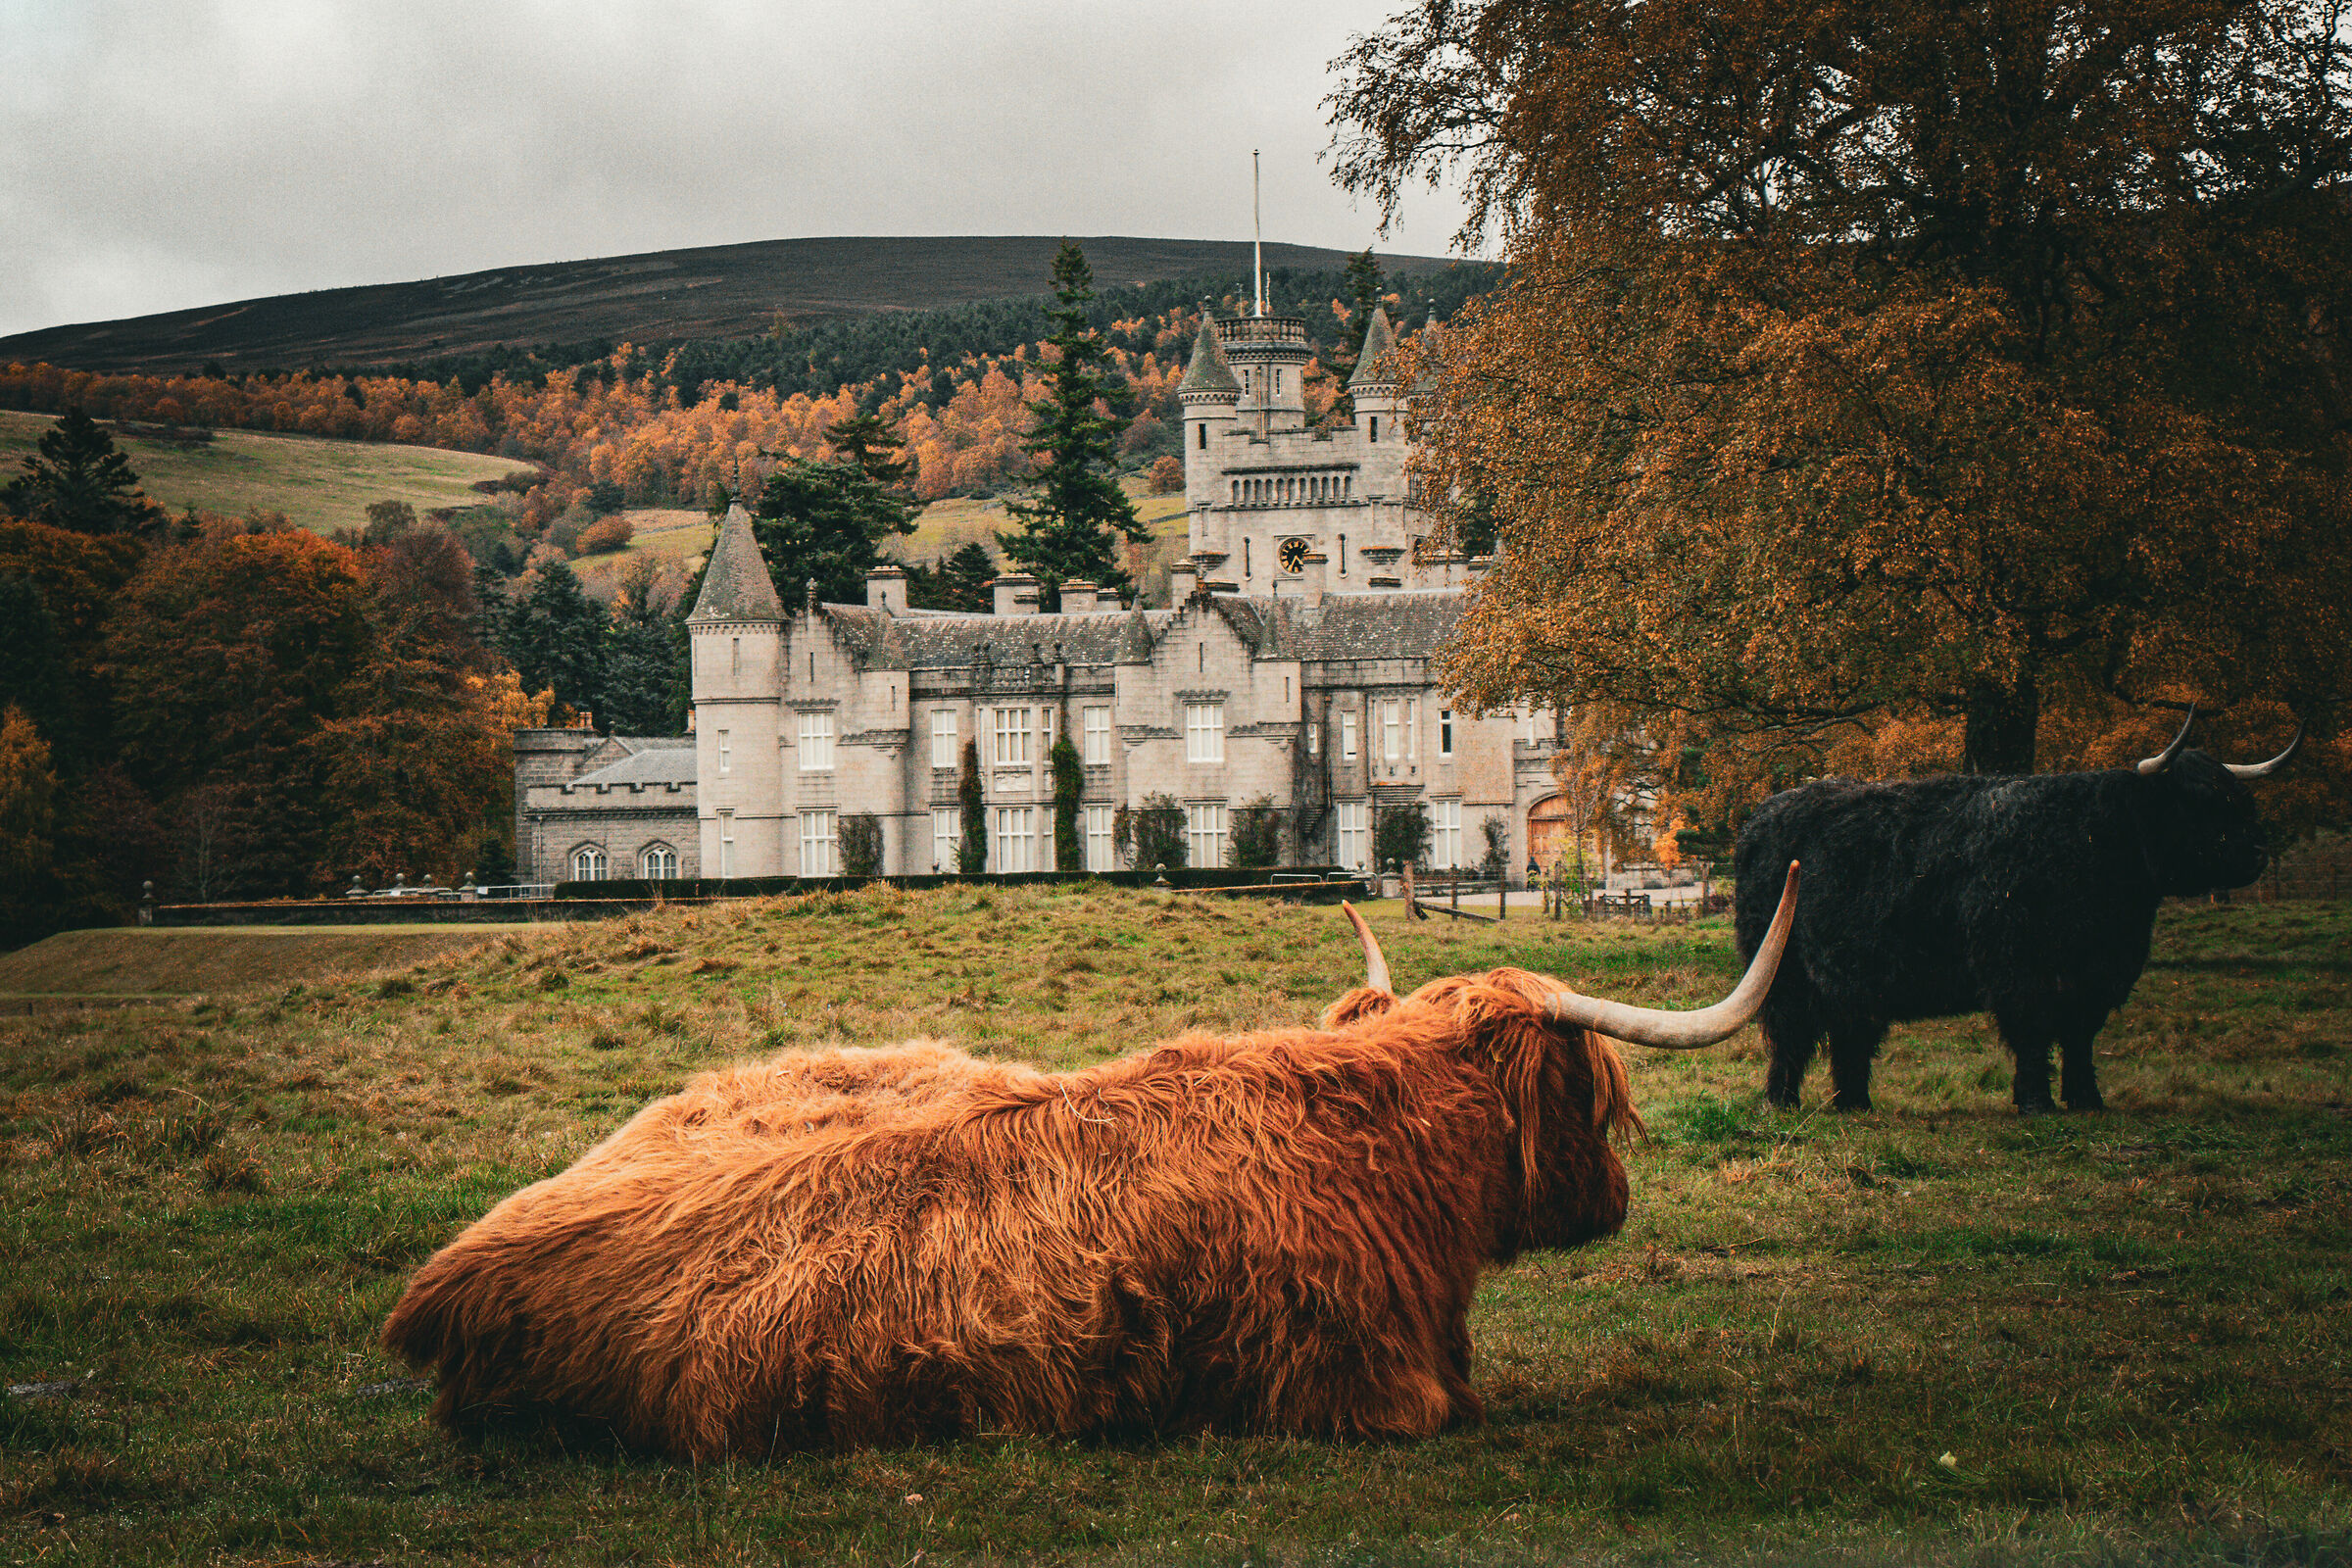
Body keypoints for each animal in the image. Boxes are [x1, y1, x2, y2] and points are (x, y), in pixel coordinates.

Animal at [1734, 709, 2300, 1115]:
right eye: (2201, 801)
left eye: (2241, 798)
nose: (2258, 851)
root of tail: (1763, 814)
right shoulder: (2018, 968)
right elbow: (2032, 1034)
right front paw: (2036, 1103)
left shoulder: (2098, 975)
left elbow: (2079, 1037)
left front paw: (2088, 1101)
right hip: (1784, 971)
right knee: (1789, 1035)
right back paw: (1782, 1102)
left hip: (1853, 977)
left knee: (1852, 1035)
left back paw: (1855, 1104)